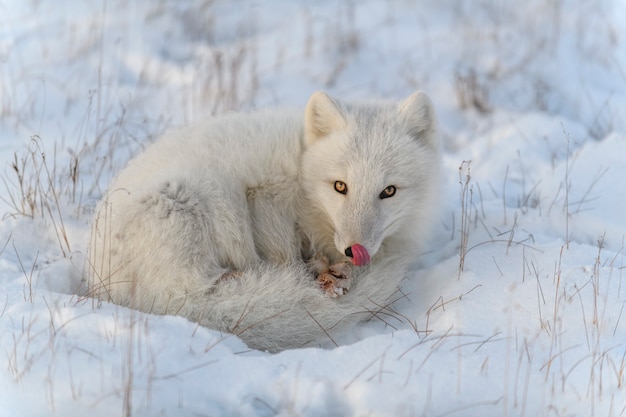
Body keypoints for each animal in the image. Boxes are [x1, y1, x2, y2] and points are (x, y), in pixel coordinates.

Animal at [86, 91, 438, 352]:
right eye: (340, 186)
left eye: (388, 191)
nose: (355, 250)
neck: (302, 166)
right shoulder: (266, 199)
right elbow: (284, 256)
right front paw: (312, 277)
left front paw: (336, 274)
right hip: (198, 201)